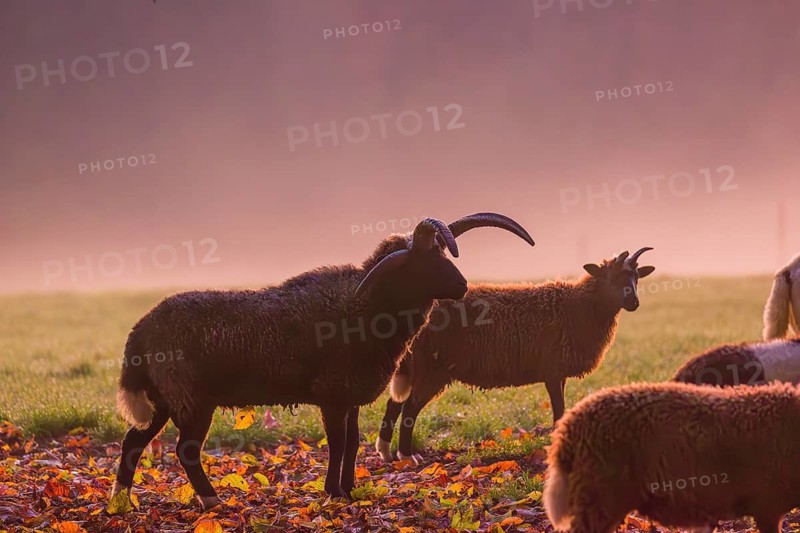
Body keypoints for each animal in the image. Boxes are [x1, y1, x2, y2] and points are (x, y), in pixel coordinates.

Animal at [111, 213, 534, 509]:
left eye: (444, 254)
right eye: (422, 260)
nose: (462, 286)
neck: (366, 307)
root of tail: (139, 332)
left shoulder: (351, 397)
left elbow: (352, 441)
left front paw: (347, 490)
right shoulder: (332, 394)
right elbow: (336, 443)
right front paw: (333, 492)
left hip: (162, 397)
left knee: (133, 441)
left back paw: (122, 502)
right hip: (191, 398)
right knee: (185, 450)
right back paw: (211, 500)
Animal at [375, 247, 655, 464]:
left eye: (636, 277)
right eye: (612, 277)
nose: (634, 303)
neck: (579, 306)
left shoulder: (559, 372)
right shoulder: (552, 371)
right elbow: (559, 410)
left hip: (413, 366)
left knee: (395, 402)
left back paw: (387, 453)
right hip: (431, 369)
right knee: (410, 407)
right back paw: (407, 455)